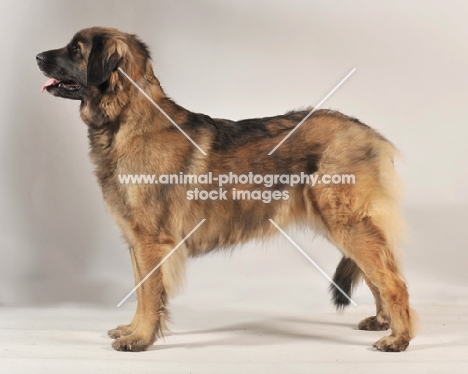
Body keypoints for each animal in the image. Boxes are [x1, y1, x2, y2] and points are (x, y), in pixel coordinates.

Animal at [37, 27, 416, 352]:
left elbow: (149, 293)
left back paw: (399, 338)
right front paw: (132, 330)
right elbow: (141, 289)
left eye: (76, 49)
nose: (38, 56)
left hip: (346, 221)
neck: (128, 119)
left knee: (392, 280)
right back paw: (383, 322)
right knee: (378, 274)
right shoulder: (136, 240)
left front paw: (140, 338)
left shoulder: (150, 241)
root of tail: (368, 132)